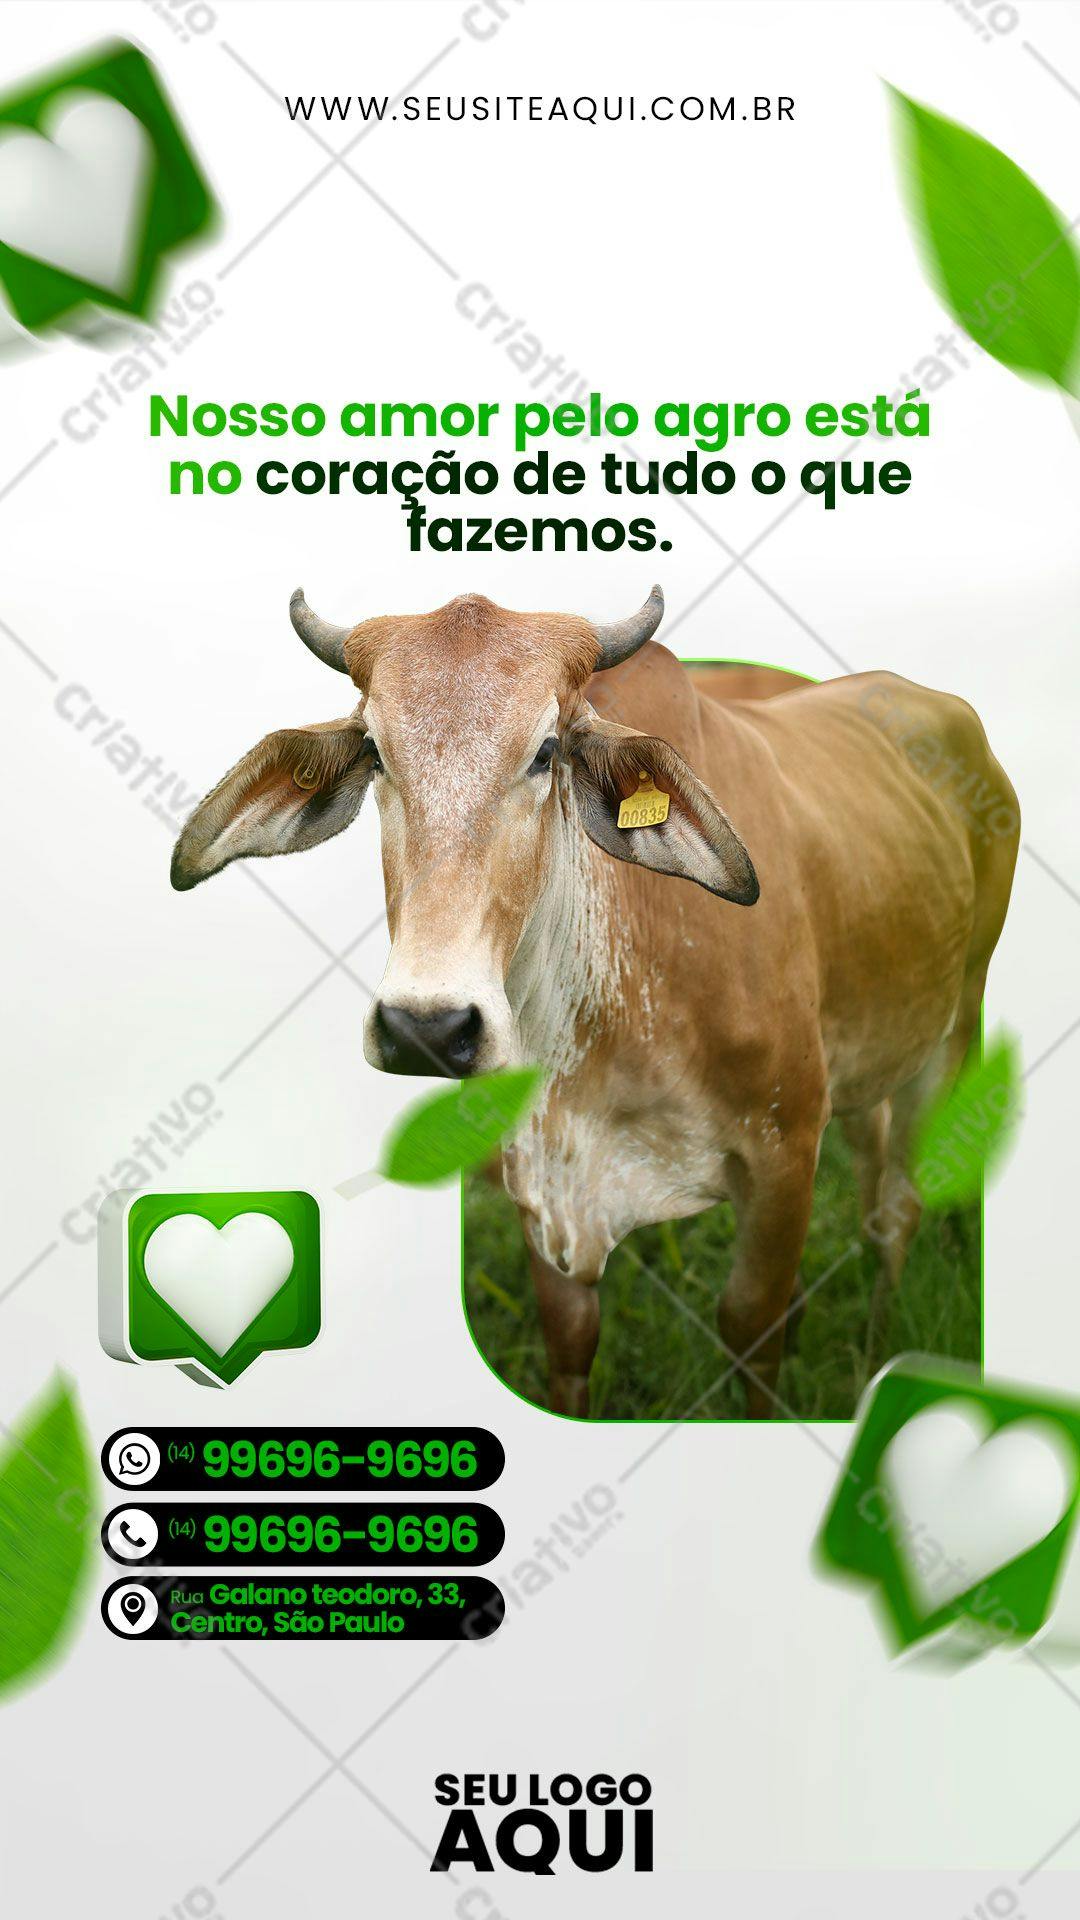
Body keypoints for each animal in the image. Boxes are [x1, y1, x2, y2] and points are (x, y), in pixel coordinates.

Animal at [171, 586, 1019, 1418]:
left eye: (547, 752)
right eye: (377, 752)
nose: (426, 1028)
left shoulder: (786, 1150)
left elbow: (750, 1324)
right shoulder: (539, 1180)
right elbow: (571, 1339)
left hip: (958, 1022)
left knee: (898, 1209)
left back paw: (883, 1356)